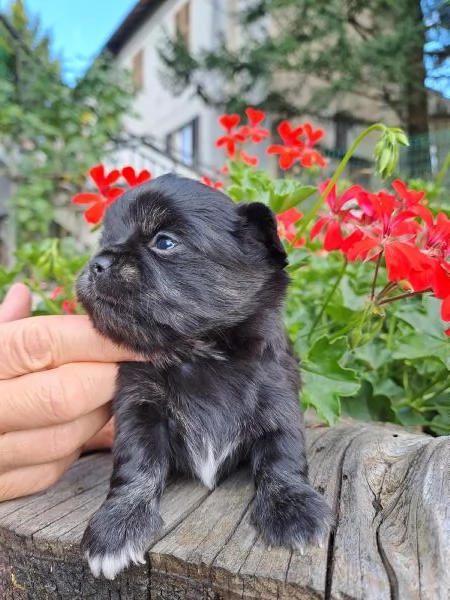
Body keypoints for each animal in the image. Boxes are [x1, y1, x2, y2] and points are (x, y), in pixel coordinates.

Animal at [76, 175, 330, 580]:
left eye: (164, 242)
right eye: (104, 241)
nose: (96, 263)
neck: (197, 354)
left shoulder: (280, 403)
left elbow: (282, 457)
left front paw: (294, 508)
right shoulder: (138, 408)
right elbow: (136, 465)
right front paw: (116, 526)